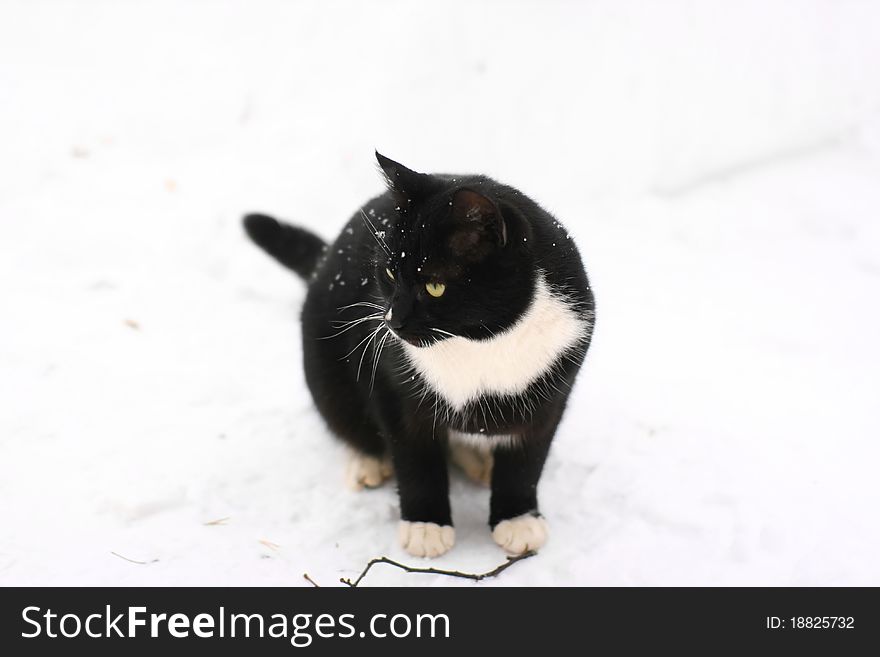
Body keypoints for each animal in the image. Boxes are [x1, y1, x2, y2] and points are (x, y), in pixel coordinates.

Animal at [244, 152, 596, 552]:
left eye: (435, 286)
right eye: (389, 273)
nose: (391, 320)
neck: (481, 344)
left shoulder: (553, 391)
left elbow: (527, 460)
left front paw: (518, 519)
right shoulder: (392, 387)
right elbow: (415, 458)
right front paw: (425, 525)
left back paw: (480, 461)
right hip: (324, 365)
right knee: (344, 417)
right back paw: (368, 463)